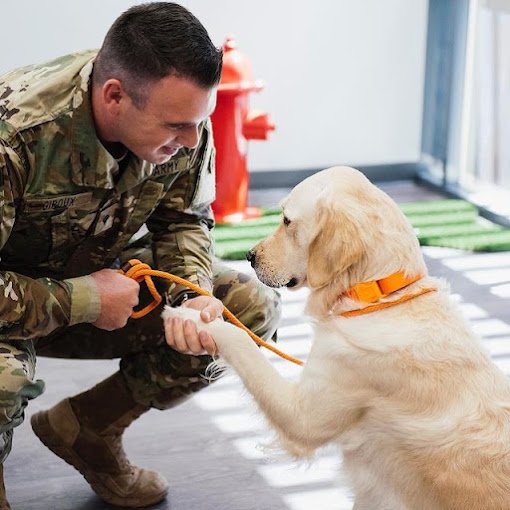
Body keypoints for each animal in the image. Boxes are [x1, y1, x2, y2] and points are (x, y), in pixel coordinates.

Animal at [164, 166, 510, 509]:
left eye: (286, 220)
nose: (250, 255)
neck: (379, 295)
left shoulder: (302, 417)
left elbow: (241, 341)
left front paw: (189, 318)